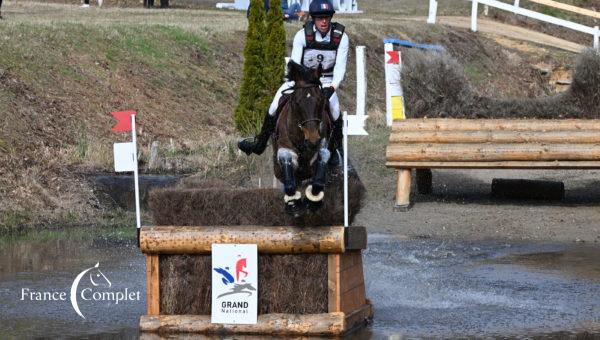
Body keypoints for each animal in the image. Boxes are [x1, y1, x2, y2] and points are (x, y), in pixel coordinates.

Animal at [272, 60, 332, 216]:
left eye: (321, 100)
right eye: (297, 102)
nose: (312, 139)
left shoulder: (322, 143)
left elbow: (323, 157)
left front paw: (314, 200)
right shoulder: (285, 147)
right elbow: (288, 165)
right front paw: (293, 203)